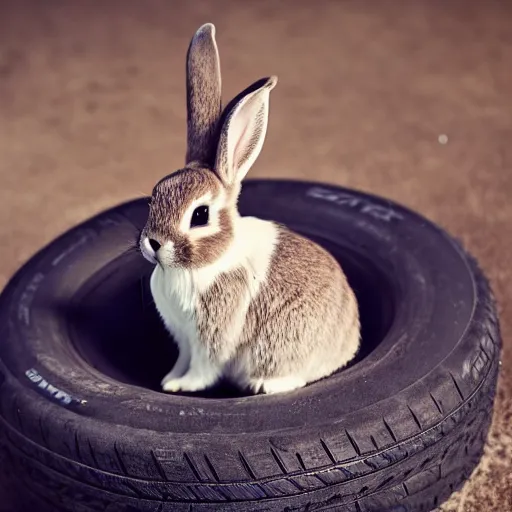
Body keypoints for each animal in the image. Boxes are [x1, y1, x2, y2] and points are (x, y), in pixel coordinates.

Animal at [138, 22, 358, 394]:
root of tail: (349, 343)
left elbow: (204, 367)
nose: (153, 242)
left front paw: (182, 387)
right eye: (154, 196)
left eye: (200, 215)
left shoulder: (211, 336)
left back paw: (263, 384)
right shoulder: (184, 339)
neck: (202, 265)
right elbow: (183, 359)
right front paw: (169, 380)